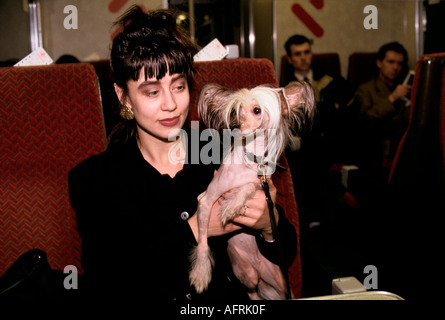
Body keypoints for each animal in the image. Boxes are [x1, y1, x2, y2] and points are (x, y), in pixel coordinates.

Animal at [189, 80, 314, 300]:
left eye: (257, 110)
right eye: (234, 112)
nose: (235, 126)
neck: (251, 161)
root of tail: (259, 273)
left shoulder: (261, 183)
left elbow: (248, 186)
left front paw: (232, 205)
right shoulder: (205, 200)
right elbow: (203, 242)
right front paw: (201, 273)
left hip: (280, 284)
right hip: (244, 273)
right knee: (252, 291)